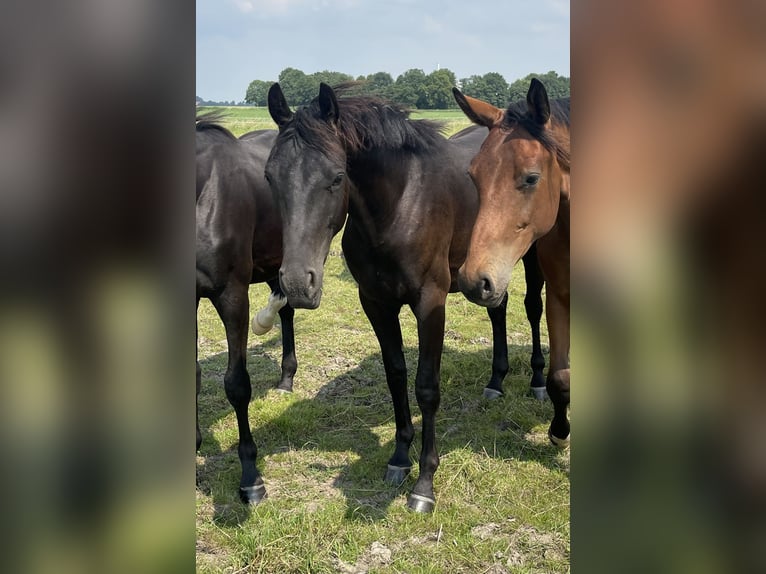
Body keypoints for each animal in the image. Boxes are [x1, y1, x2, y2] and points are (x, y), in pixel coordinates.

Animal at [268, 83, 548, 516]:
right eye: (269, 177)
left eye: (336, 177)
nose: (298, 283)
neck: (400, 206)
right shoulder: (376, 303)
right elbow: (396, 375)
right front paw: (400, 458)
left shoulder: (430, 302)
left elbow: (426, 386)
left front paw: (424, 483)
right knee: (497, 307)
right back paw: (495, 381)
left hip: (530, 255)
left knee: (533, 308)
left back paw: (536, 380)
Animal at [456, 80, 568, 450]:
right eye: (473, 176)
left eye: (531, 178)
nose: (472, 279)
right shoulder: (560, 297)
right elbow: (560, 376)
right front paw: (560, 431)